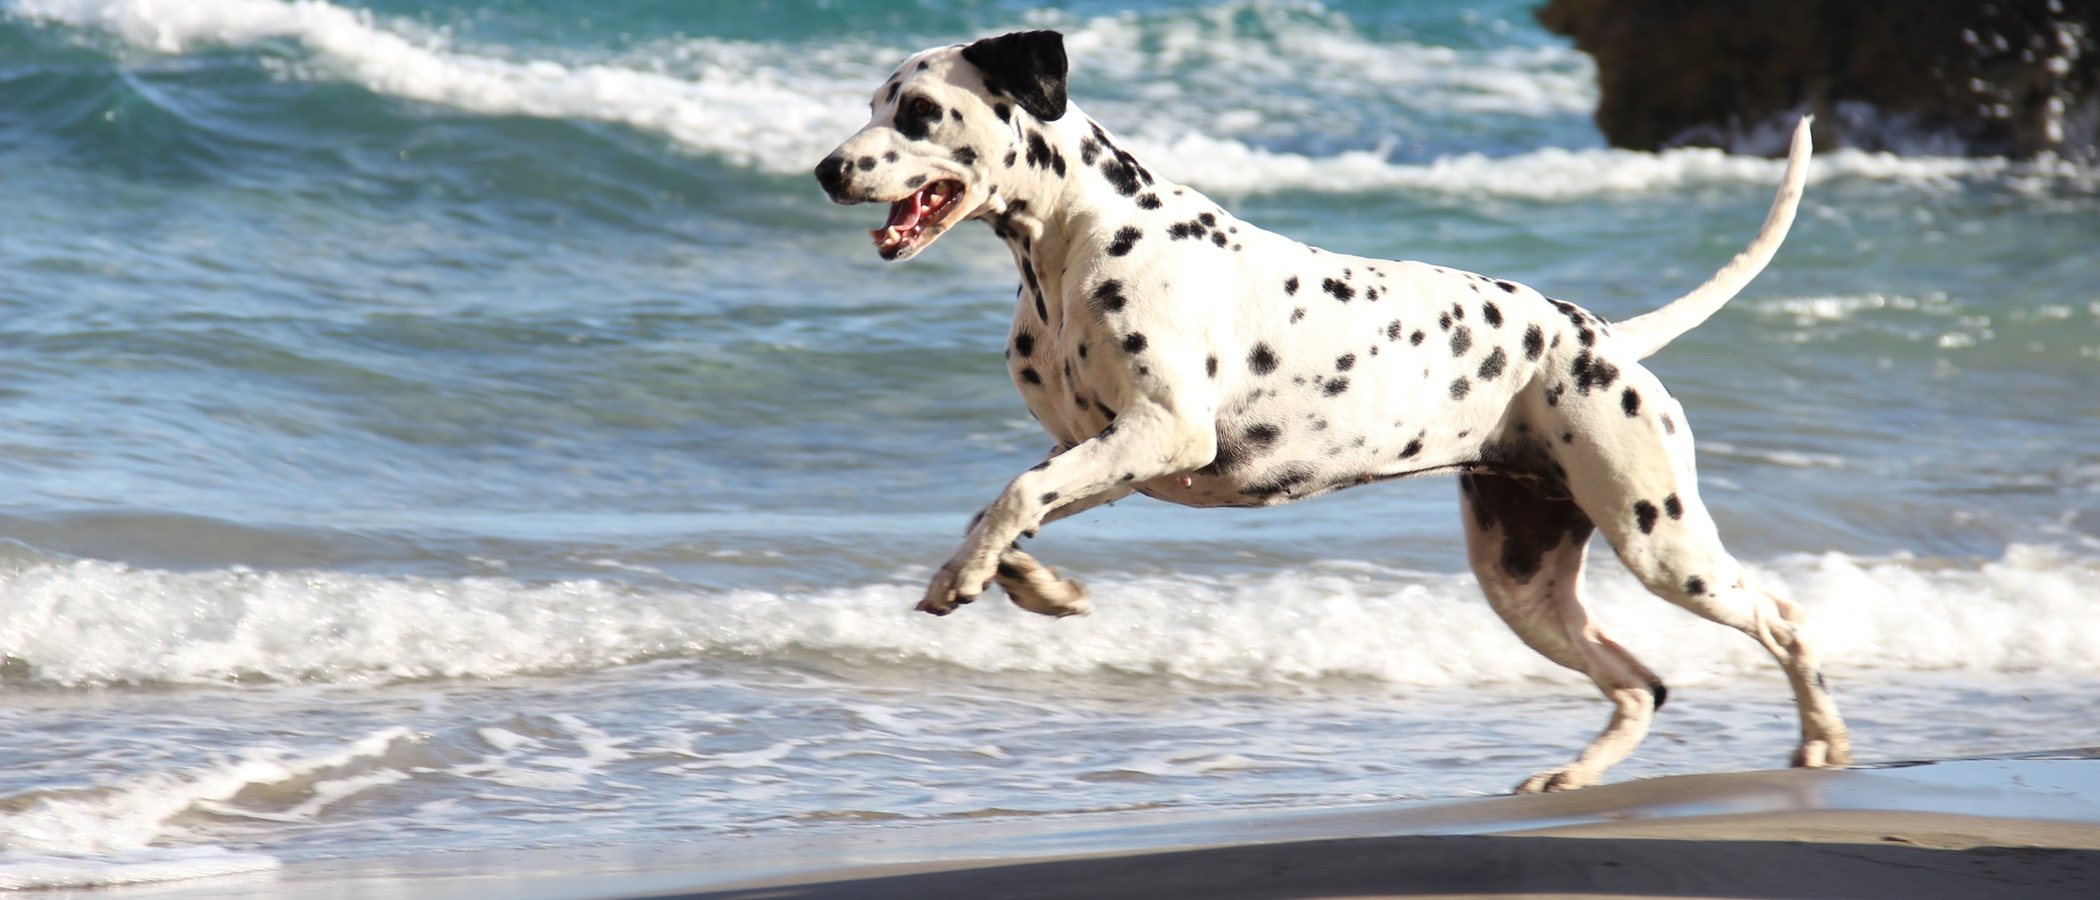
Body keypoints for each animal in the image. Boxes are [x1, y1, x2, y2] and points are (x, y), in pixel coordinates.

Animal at [810, 31, 1847, 788]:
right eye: (870, 107)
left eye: (919, 112)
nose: (826, 169)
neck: (1072, 240)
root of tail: (1600, 338)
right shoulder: (1107, 447)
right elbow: (1016, 501)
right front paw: (1035, 585)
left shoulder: (1163, 430)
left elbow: (1017, 497)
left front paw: (967, 575)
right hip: (1522, 579)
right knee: (1639, 684)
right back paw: (1571, 778)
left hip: (1661, 542)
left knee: (1788, 619)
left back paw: (1822, 740)